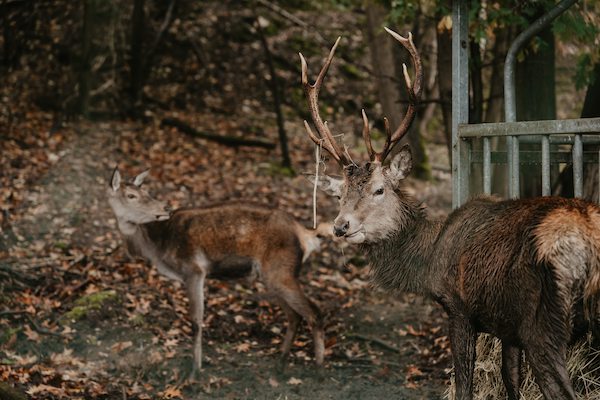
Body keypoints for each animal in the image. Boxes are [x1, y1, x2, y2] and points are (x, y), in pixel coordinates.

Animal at [106, 168, 330, 376]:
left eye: (146, 191)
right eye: (131, 195)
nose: (165, 207)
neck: (157, 248)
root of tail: (306, 235)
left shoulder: (194, 269)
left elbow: (196, 321)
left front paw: (195, 372)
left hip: (281, 271)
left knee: (314, 312)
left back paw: (319, 370)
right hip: (271, 276)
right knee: (295, 316)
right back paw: (280, 365)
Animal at [300, 28, 600, 400]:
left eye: (379, 189)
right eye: (340, 194)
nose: (341, 226)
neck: (429, 256)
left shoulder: (458, 307)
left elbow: (463, 386)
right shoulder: (508, 328)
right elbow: (510, 383)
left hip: (543, 325)